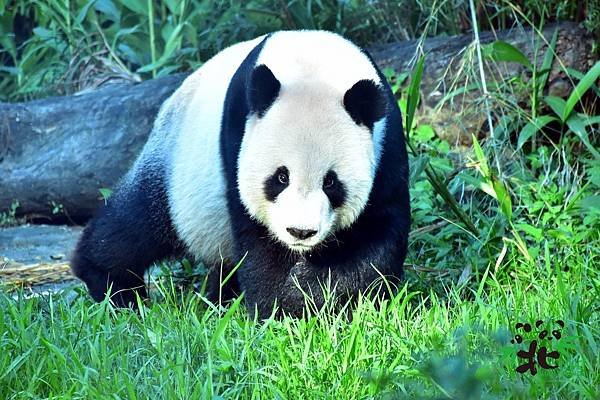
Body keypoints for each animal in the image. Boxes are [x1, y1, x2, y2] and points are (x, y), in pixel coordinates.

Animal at [69, 30, 408, 318]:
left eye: (331, 182)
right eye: (281, 177)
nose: (300, 232)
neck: (314, 66)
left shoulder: (386, 148)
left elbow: (375, 237)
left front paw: (330, 299)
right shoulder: (237, 140)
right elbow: (260, 241)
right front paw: (285, 311)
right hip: (176, 166)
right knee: (136, 224)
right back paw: (113, 287)